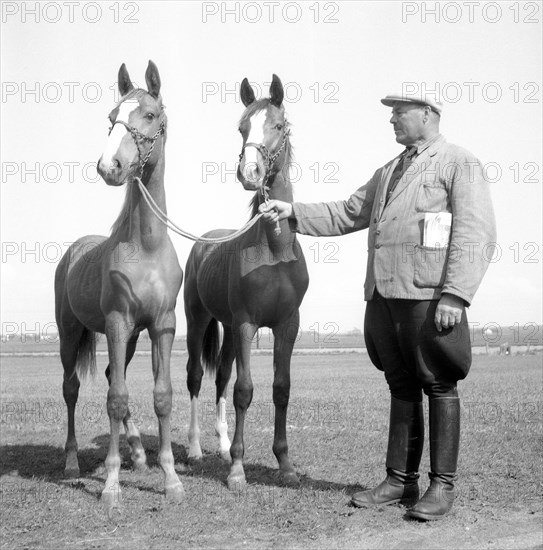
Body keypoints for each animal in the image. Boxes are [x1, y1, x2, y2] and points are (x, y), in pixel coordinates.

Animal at [54, 62, 185, 516]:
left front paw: (170, 479)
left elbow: (161, 396)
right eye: (112, 116)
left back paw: (139, 455)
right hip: (70, 333)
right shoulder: (115, 323)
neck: (145, 247)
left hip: (127, 339)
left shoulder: (161, 326)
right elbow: (115, 399)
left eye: (148, 114)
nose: (109, 165)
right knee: (72, 389)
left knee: (114, 375)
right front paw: (111, 486)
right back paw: (72, 462)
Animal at [184, 74, 308, 492]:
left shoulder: (287, 325)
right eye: (241, 127)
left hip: (224, 326)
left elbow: (280, 389)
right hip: (198, 320)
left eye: (279, 126)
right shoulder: (246, 324)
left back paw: (222, 447)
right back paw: (195, 448)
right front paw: (238, 470)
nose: (250, 172)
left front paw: (285, 465)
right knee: (195, 378)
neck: (274, 251)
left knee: (220, 378)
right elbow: (244, 391)